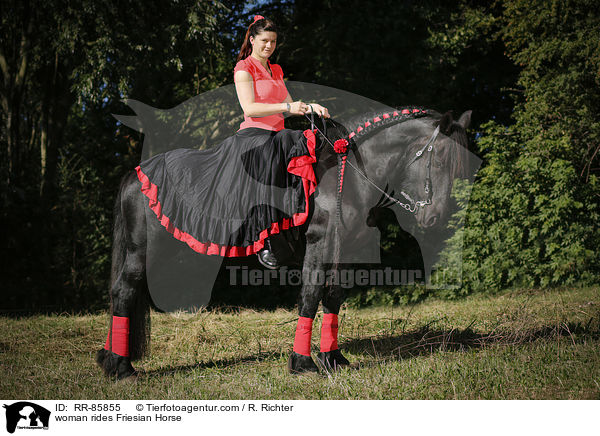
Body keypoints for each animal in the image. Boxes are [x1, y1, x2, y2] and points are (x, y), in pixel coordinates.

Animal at [96, 108, 472, 378]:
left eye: (458, 169)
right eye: (439, 159)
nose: (435, 218)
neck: (347, 176)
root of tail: (135, 174)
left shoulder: (346, 251)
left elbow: (334, 297)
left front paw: (333, 358)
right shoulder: (320, 245)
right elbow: (310, 295)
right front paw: (302, 363)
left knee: (121, 295)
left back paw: (110, 357)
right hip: (143, 251)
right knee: (125, 291)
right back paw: (122, 368)